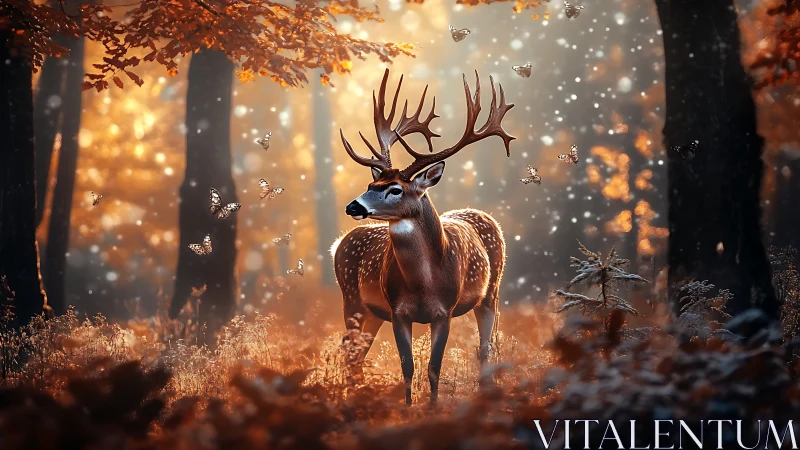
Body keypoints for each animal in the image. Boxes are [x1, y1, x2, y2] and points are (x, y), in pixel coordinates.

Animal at [331, 68, 515, 405]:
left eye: (395, 189)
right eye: (371, 184)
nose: (353, 206)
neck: (424, 284)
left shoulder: (445, 311)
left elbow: (433, 367)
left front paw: (432, 407)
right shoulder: (396, 311)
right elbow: (408, 366)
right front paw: (407, 407)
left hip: (491, 292)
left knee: (485, 347)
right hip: (354, 299)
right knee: (352, 354)